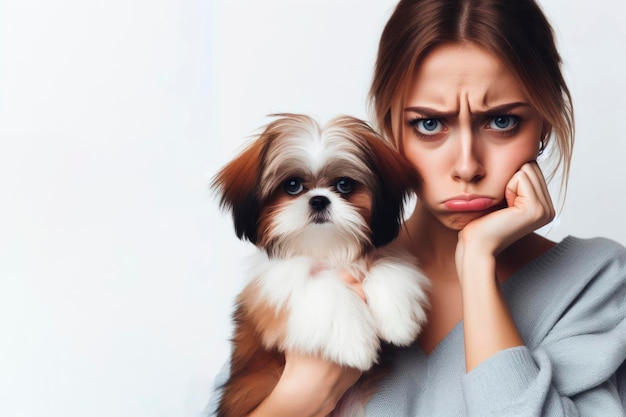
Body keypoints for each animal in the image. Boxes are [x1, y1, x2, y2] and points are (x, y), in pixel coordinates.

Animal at [210, 114, 428, 416]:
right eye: (292, 185)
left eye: (344, 184)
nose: (319, 200)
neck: (326, 249)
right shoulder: (271, 290)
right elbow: (323, 288)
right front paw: (356, 343)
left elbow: (385, 265)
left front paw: (399, 321)